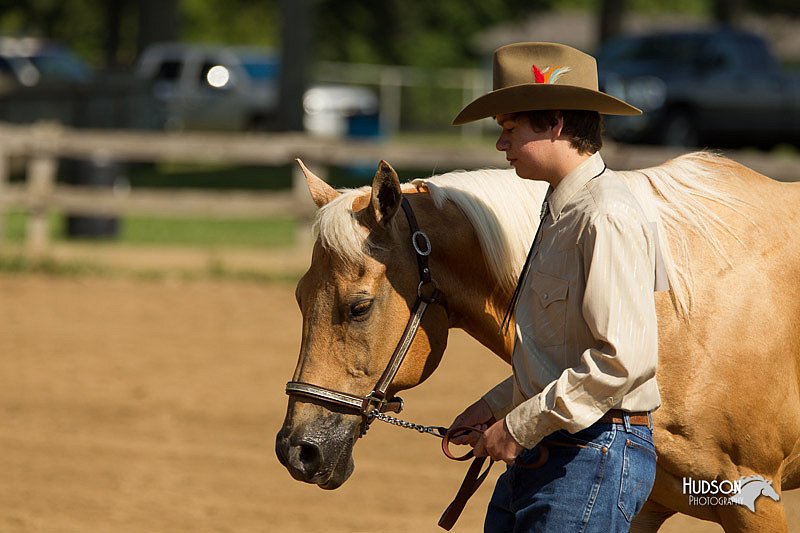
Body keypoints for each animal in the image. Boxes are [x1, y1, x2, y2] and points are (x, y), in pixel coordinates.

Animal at [276, 152, 800, 528]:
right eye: (300, 298)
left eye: (358, 307)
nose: (297, 450)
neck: (668, 311)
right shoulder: (641, 505)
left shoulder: (754, 502)